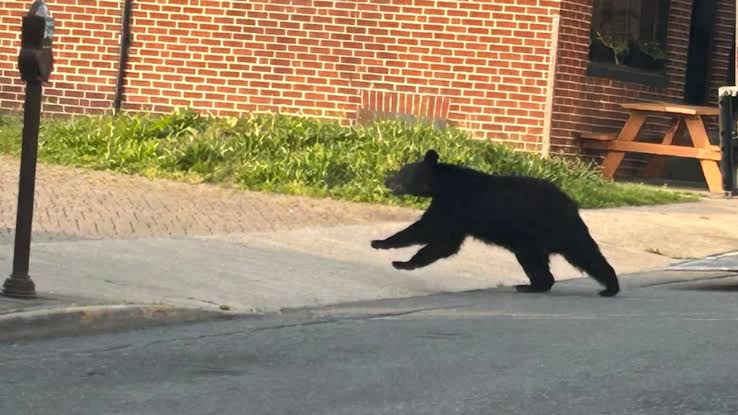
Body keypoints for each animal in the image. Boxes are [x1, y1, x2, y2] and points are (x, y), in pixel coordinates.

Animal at [370, 149, 620, 297]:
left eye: (403, 172)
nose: (387, 179)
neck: (442, 184)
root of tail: (570, 202)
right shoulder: (451, 207)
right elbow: (440, 238)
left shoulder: (456, 204)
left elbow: (435, 234)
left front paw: (394, 256)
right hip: (531, 240)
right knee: (537, 261)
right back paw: (534, 285)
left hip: (555, 228)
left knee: (584, 252)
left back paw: (610, 288)